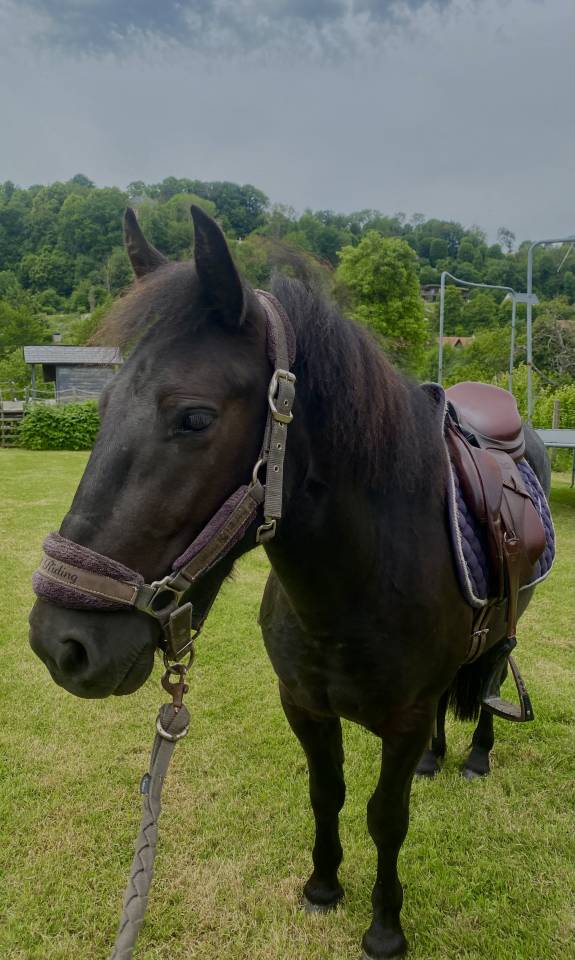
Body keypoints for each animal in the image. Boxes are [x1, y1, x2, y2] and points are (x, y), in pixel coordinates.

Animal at [29, 206, 551, 959]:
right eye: (100, 410)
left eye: (194, 417)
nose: (60, 643)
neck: (352, 589)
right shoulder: (303, 705)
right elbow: (326, 794)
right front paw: (322, 888)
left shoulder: (401, 719)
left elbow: (386, 817)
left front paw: (384, 928)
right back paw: (438, 758)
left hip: (510, 624)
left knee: (488, 681)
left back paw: (476, 755)